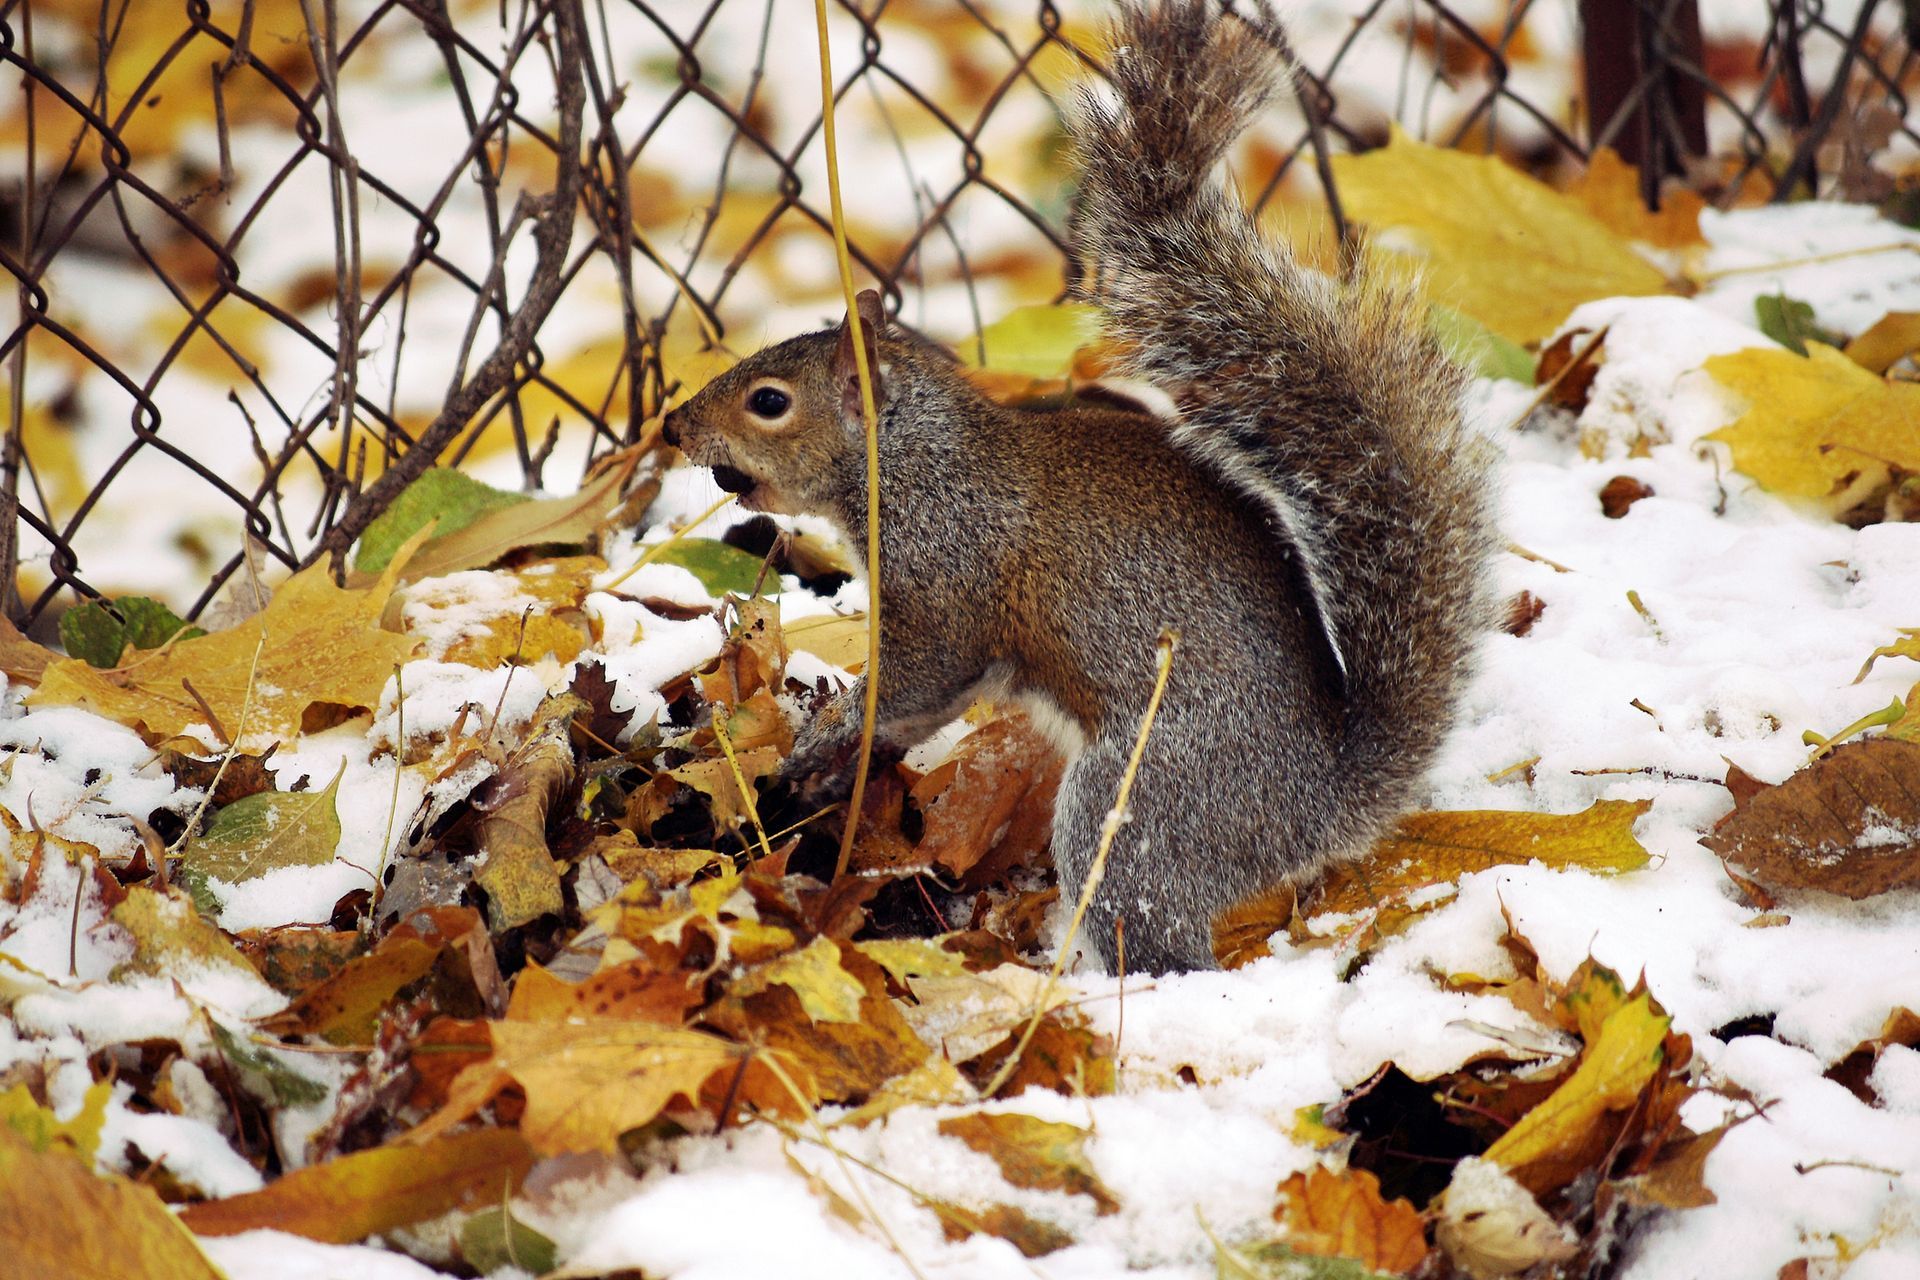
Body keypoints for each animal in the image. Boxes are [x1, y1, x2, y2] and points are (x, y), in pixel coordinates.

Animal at [660, 0, 1497, 974]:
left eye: (768, 401)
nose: (675, 428)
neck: (911, 458)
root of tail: (1319, 809)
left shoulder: (948, 579)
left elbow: (917, 678)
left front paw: (823, 740)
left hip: (1143, 801)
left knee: (1154, 926)